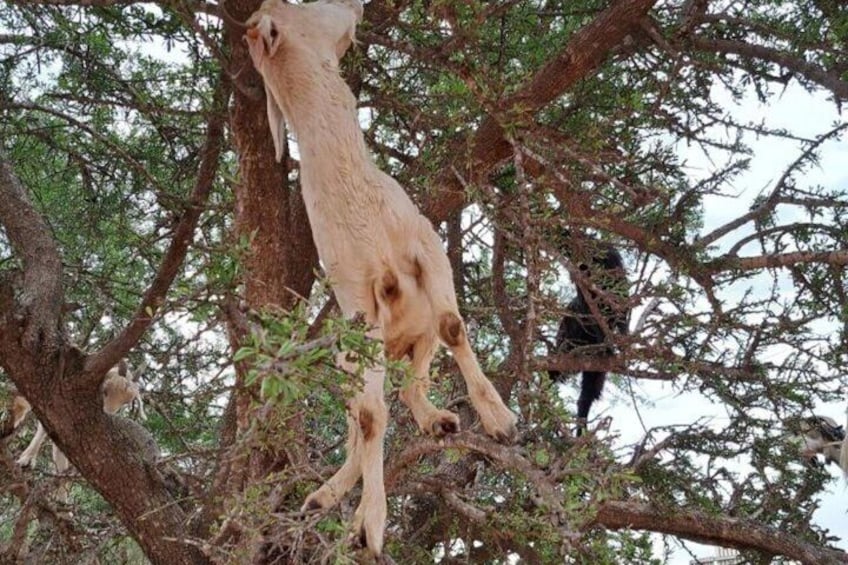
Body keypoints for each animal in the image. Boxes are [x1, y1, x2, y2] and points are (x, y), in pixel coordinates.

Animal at [243, 0, 517, 556]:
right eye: (301, 6)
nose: (354, 6)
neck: (361, 203)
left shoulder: (427, 248)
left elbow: (455, 325)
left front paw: (501, 422)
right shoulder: (358, 305)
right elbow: (371, 419)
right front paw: (368, 527)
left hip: (416, 334)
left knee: (413, 384)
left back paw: (440, 420)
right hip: (352, 355)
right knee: (362, 417)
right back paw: (322, 500)